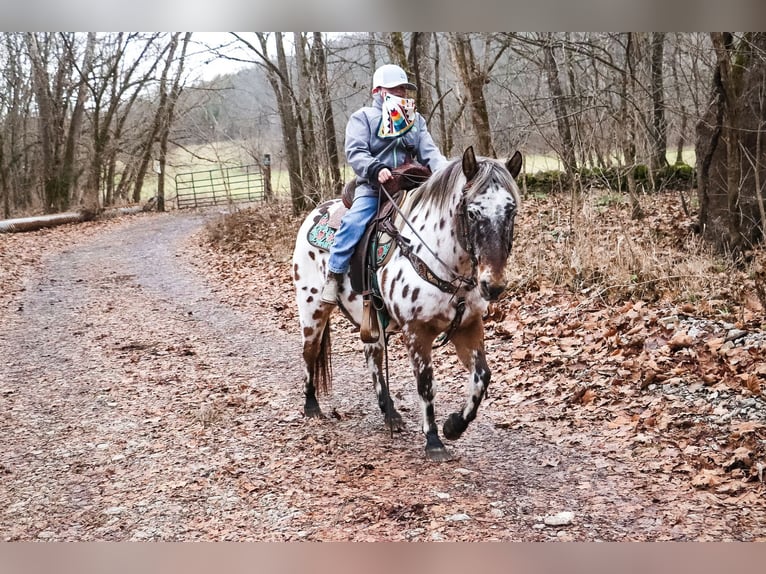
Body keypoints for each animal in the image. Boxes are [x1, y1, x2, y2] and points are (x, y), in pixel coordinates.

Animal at [292, 147, 524, 464]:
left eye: (510, 210)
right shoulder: (417, 331)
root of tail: (316, 212)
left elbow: (481, 378)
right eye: (473, 212)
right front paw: (434, 441)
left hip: (371, 322)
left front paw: (454, 426)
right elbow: (426, 384)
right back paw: (312, 407)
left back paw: (390, 414)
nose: (494, 285)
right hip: (312, 308)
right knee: (310, 352)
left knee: (373, 359)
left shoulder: (468, 326)